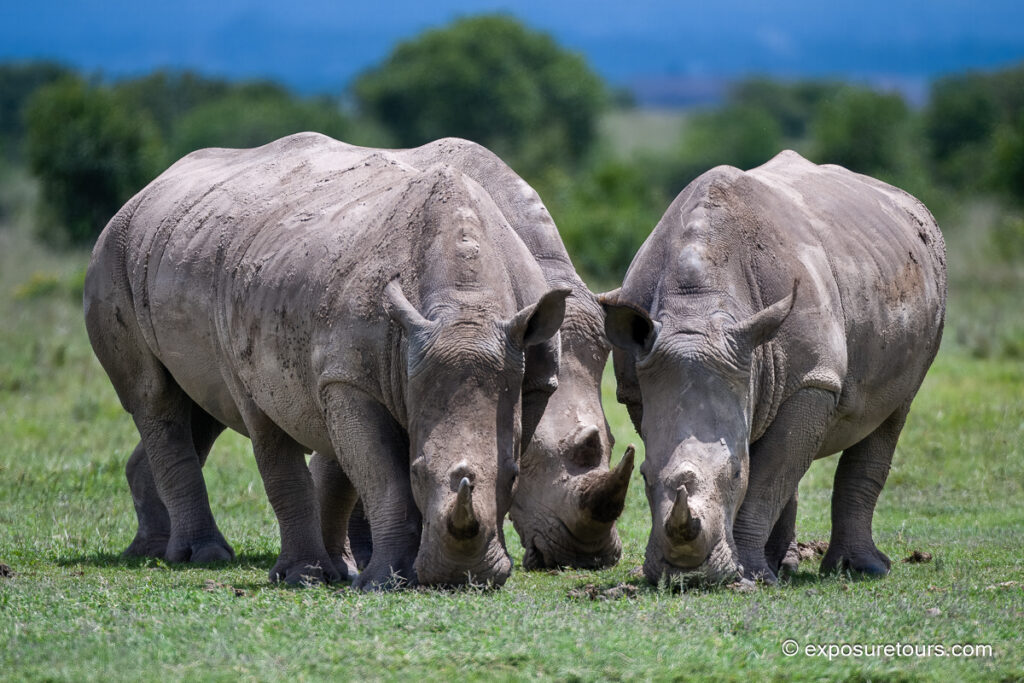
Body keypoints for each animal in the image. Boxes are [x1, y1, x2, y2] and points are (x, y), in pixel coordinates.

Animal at [84, 132, 572, 588]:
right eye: (417, 471)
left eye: (515, 476)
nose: (460, 578)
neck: (466, 308)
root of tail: (145, 190)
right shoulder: (352, 379)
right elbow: (385, 477)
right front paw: (387, 583)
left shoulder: (528, 376)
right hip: (118, 256)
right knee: (173, 402)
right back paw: (242, 564)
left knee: (214, 411)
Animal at [602, 151, 946, 584]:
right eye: (642, 475)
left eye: (736, 474)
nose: (689, 576)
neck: (697, 306)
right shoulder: (639, 382)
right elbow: (774, 467)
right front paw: (755, 571)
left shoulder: (812, 380)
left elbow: (766, 479)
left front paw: (750, 575)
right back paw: (785, 564)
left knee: (892, 411)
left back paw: (859, 569)